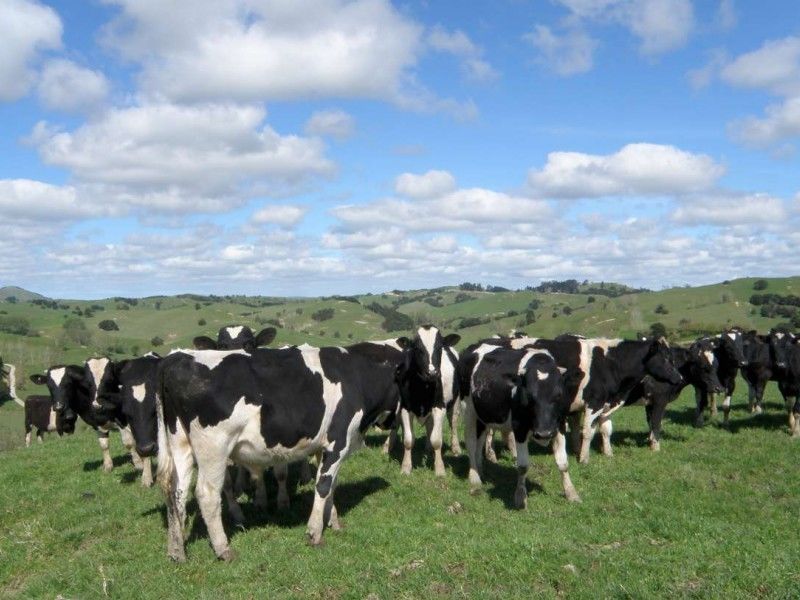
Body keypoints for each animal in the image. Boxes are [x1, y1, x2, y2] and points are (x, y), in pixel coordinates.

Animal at [155, 342, 404, 564]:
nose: (394, 423)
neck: (357, 380)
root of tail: (176, 358)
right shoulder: (338, 442)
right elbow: (324, 486)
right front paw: (315, 533)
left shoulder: (324, 448)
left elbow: (329, 486)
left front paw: (333, 522)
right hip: (214, 448)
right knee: (207, 495)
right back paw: (223, 549)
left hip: (181, 445)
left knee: (176, 492)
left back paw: (176, 551)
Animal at [396, 326, 462, 476]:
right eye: (417, 349)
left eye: (439, 347)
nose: (432, 373)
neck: (423, 388)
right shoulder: (405, 408)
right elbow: (408, 439)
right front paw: (405, 467)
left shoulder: (439, 407)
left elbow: (436, 440)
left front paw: (439, 469)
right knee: (429, 425)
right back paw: (428, 448)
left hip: (455, 401)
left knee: (453, 423)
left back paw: (455, 448)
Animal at [456, 342, 576, 506]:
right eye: (529, 396)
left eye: (558, 395)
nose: (543, 433)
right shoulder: (519, 428)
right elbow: (523, 466)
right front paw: (520, 497)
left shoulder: (560, 424)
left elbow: (563, 463)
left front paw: (571, 493)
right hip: (468, 410)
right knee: (471, 442)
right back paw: (474, 477)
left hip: (483, 416)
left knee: (480, 441)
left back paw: (480, 470)